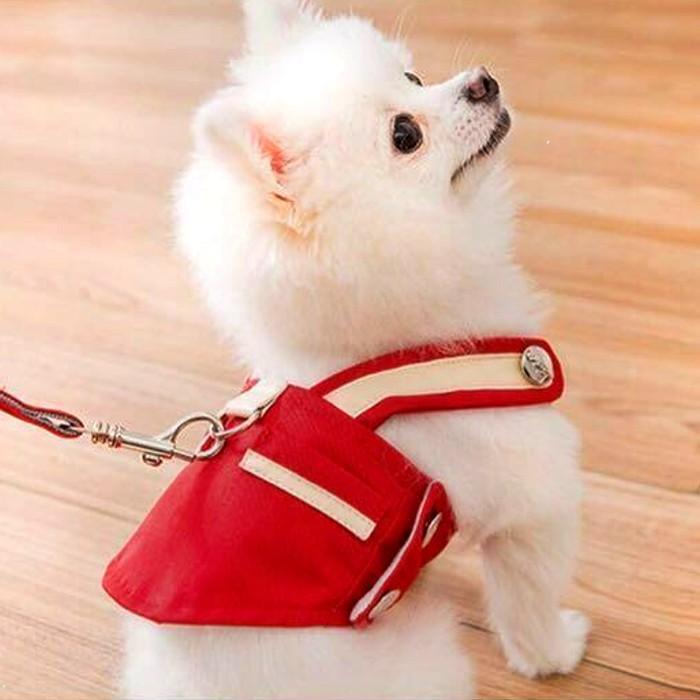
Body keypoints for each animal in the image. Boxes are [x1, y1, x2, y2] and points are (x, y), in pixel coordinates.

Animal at [120, 1, 589, 697]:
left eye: (414, 78)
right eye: (405, 136)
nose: (482, 81)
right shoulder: (531, 497)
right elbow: (528, 601)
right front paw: (556, 652)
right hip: (426, 657)